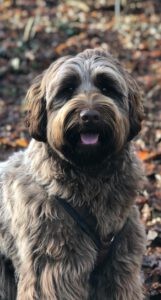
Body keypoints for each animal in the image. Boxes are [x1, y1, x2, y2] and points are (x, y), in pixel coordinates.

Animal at [0, 48, 145, 298]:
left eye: (106, 88)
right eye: (67, 90)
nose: (89, 116)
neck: (89, 171)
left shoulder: (120, 262)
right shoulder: (52, 266)